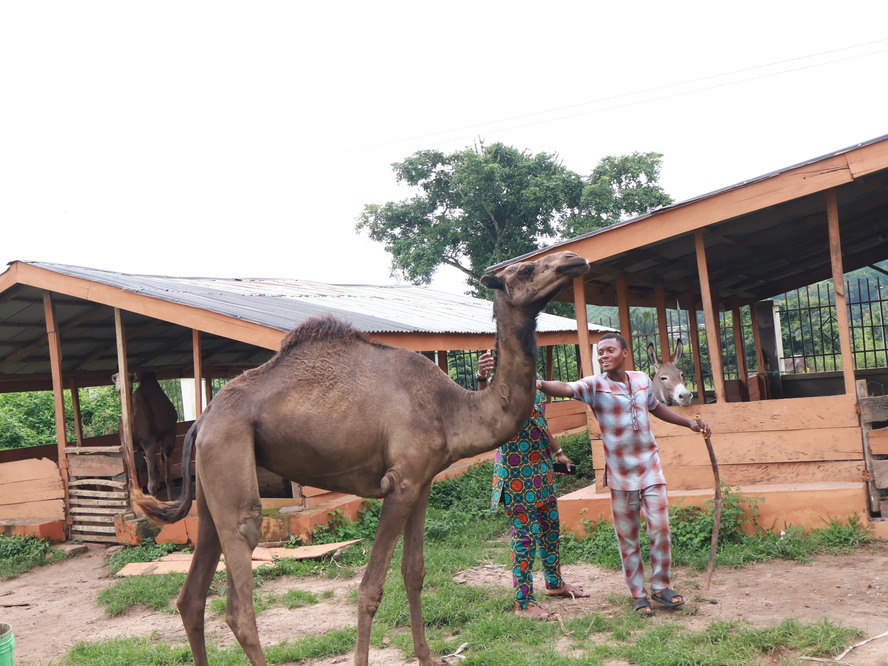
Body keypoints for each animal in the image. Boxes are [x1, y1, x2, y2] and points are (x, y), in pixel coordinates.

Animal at [136, 250, 589, 666]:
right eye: (526, 269)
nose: (574, 260)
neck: (452, 409)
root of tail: (202, 421)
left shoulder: (422, 482)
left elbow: (414, 572)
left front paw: (428, 658)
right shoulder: (400, 483)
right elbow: (371, 588)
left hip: (210, 484)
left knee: (191, 597)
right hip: (230, 453)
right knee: (238, 601)